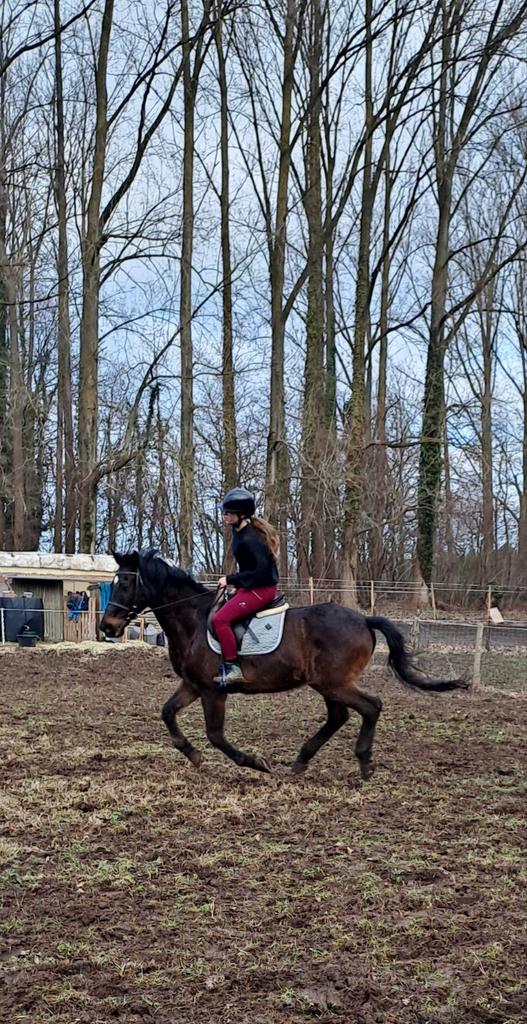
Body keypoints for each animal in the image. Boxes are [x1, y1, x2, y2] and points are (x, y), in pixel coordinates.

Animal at [100, 549, 466, 780]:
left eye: (126, 583)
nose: (107, 627)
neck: (193, 621)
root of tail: (363, 619)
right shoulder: (193, 685)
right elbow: (167, 714)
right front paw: (193, 755)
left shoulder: (213, 691)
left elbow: (216, 735)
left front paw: (254, 763)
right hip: (328, 684)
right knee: (339, 716)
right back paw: (301, 762)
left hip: (334, 682)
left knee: (370, 706)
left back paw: (363, 763)